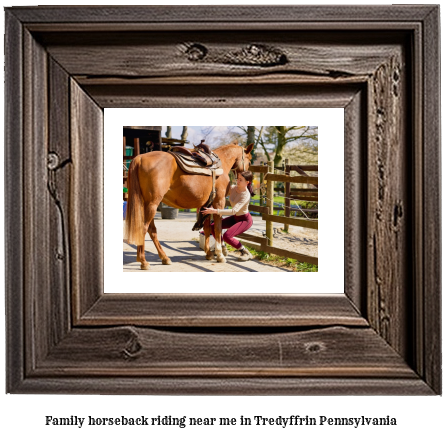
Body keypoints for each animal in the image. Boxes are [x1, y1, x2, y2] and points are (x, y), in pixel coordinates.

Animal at [123, 143, 255, 270]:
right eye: (249, 161)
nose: (249, 185)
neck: (221, 163)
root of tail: (140, 158)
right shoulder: (219, 202)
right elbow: (218, 228)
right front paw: (220, 255)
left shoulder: (206, 206)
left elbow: (207, 229)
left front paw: (209, 254)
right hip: (152, 205)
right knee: (144, 229)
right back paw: (143, 261)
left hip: (147, 204)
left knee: (152, 230)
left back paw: (164, 258)